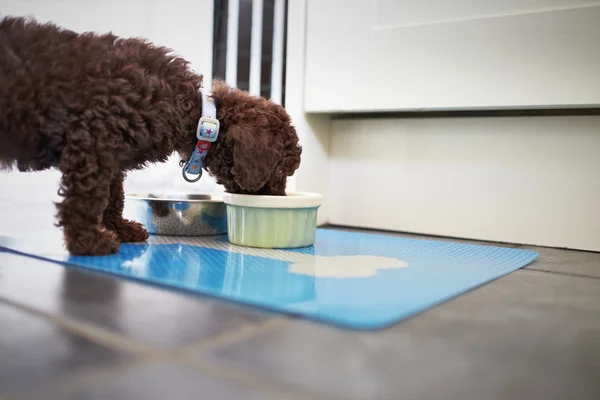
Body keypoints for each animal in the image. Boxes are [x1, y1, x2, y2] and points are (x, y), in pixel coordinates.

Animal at [0, 17, 300, 255]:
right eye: (280, 171)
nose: (282, 198)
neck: (196, 114)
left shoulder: (111, 158)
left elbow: (114, 197)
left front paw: (119, 228)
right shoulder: (92, 147)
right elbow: (87, 199)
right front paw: (89, 242)